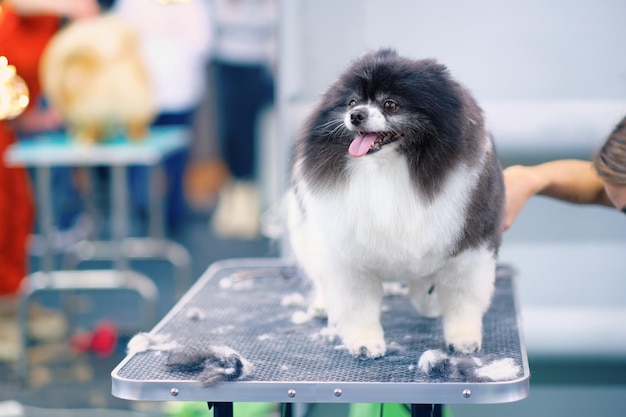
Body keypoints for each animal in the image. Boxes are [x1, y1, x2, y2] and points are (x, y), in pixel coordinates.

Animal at [39, 14, 154, 142]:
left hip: (88, 111)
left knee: (94, 128)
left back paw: (85, 139)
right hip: (136, 106)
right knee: (136, 124)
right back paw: (138, 136)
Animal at [286, 48, 504, 358]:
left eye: (390, 105)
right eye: (352, 102)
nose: (355, 115)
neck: (389, 169)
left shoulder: (469, 247)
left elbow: (463, 299)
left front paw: (463, 338)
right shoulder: (348, 256)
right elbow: (357, 304)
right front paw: (366, 342)